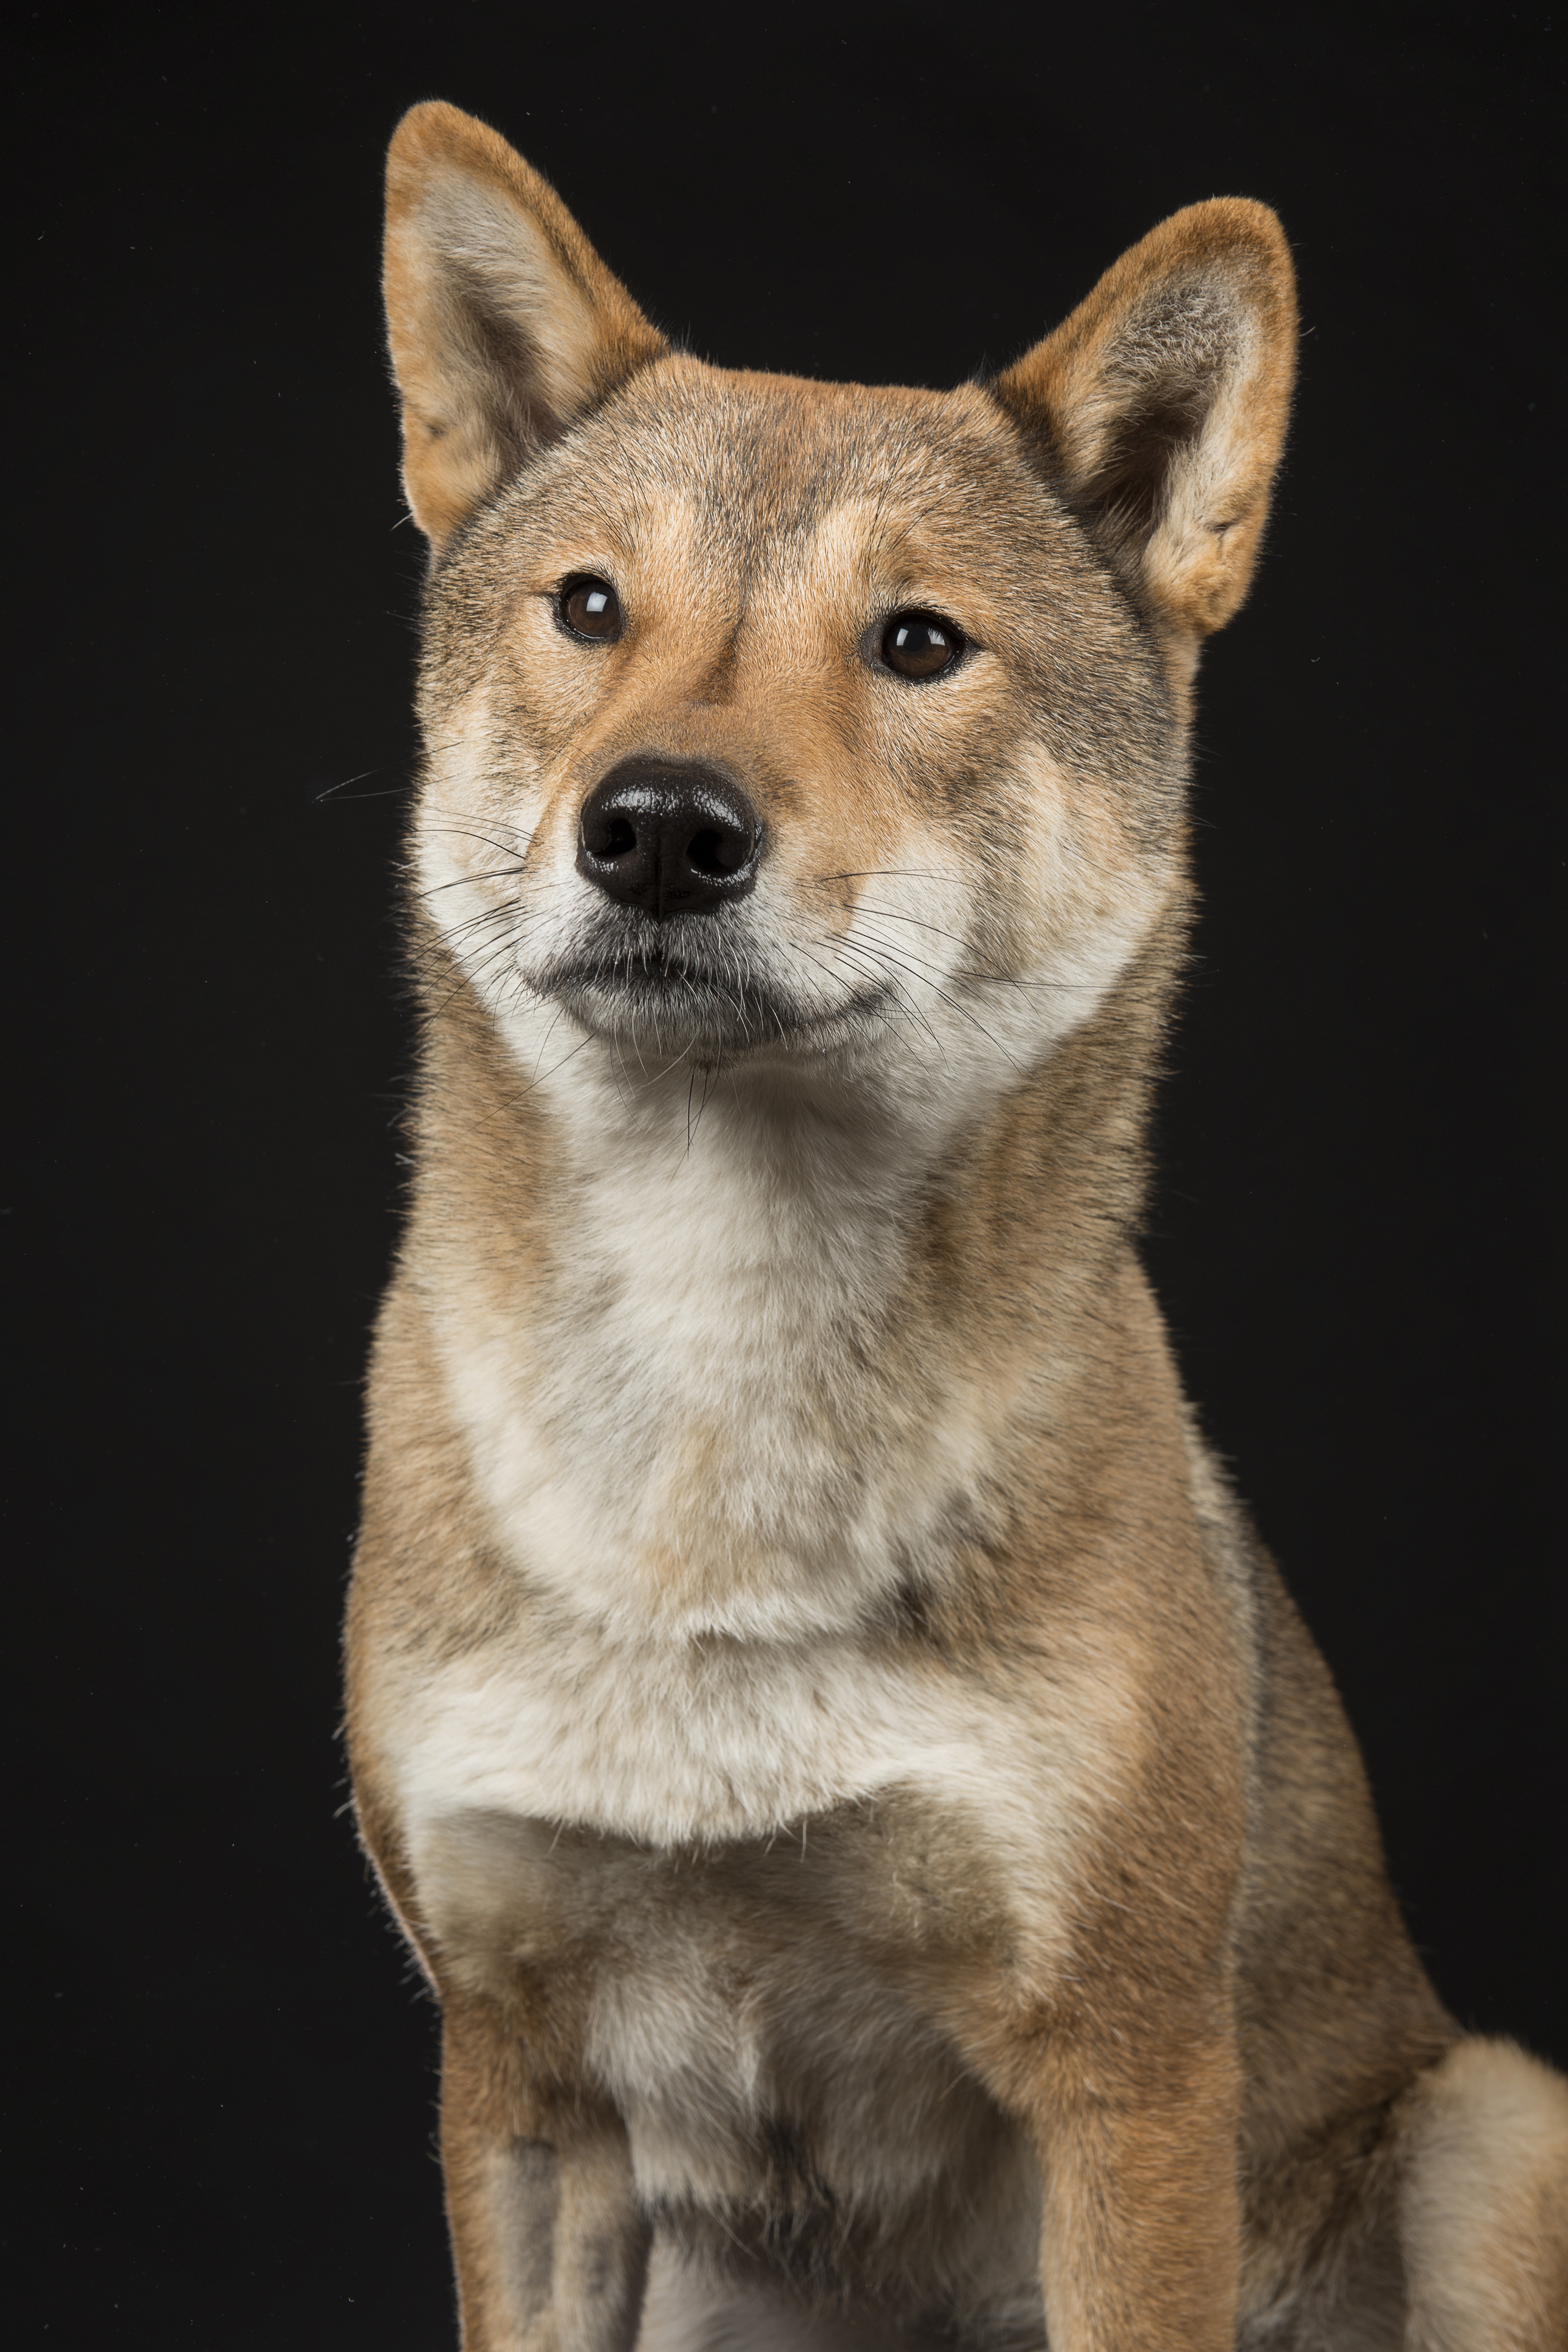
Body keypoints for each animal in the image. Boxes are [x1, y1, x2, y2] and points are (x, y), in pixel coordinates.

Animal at [345, 96, 1568, 2352]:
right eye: (587, 606)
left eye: (916, 641)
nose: (659, 826)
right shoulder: (517, 2079)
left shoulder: (1126, 2073)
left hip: (1498, 2121)